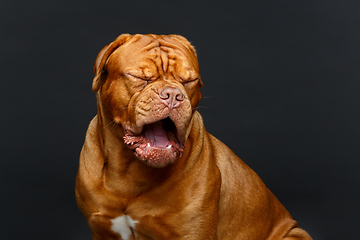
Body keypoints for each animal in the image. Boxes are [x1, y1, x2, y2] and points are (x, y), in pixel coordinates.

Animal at [76, 32, 312, 239]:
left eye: (189, 81)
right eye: (140, 77)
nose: (173, 95)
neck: (128, 173)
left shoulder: (193, 232)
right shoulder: (102, 231)